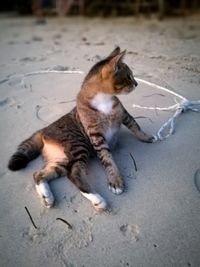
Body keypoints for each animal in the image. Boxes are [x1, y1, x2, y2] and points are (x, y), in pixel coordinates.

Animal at [7, 47, 155, 213]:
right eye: (129, 76)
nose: (136, 83)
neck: (104, 99)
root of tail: (42, 130)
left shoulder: (124, 115)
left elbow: (136, 126)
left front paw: (146, 137)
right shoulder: (96, 136)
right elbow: (108, 159)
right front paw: (115, 180)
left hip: (62, 160)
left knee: (39, 174)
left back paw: (47, 197)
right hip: (78, 144)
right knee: (74, 173)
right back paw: (98, 199)